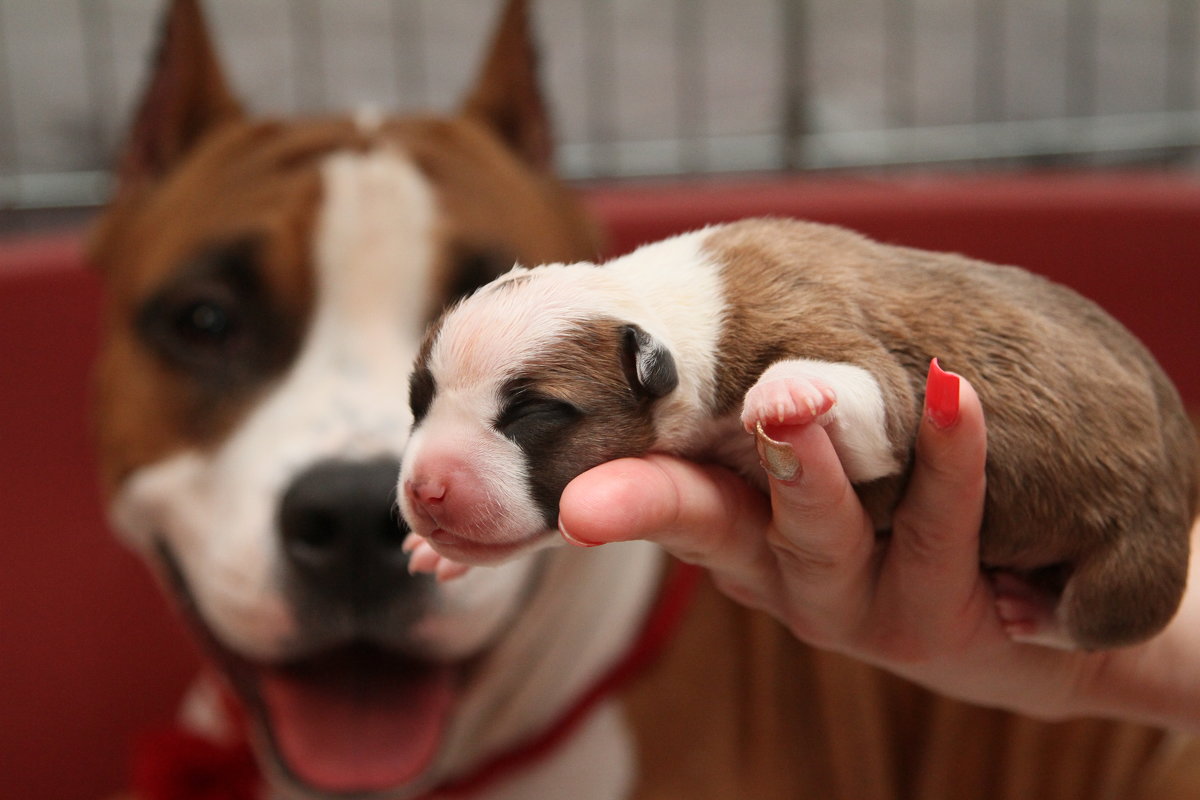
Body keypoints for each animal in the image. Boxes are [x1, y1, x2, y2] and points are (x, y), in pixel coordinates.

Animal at [403, 217, 1200, 652]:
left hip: (1140, 544)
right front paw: (440, 556)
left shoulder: (853, 360)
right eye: (418, 401)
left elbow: (879, 402)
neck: (659, 304)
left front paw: (788, 390)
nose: (424, 490)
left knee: (1114, 613)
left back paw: (1042, 614)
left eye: (533, 415)